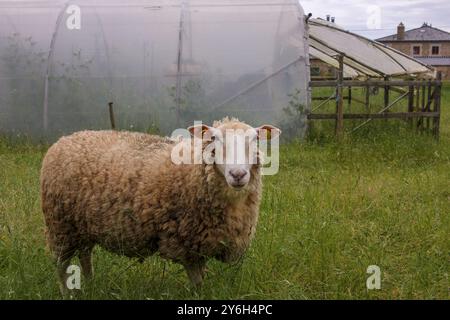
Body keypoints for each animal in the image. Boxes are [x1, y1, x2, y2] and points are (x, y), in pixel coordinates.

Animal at [41, 118, 282, 292]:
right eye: (213, 138)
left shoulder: (203, 242)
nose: (238, 174)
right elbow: (197, 283)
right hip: (60, 225)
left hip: (82, 226)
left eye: (255, 139)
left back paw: (90, 284)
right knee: (61, 266)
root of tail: (67, 138)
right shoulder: (186, 242)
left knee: (85, 256)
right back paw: (67, 293)